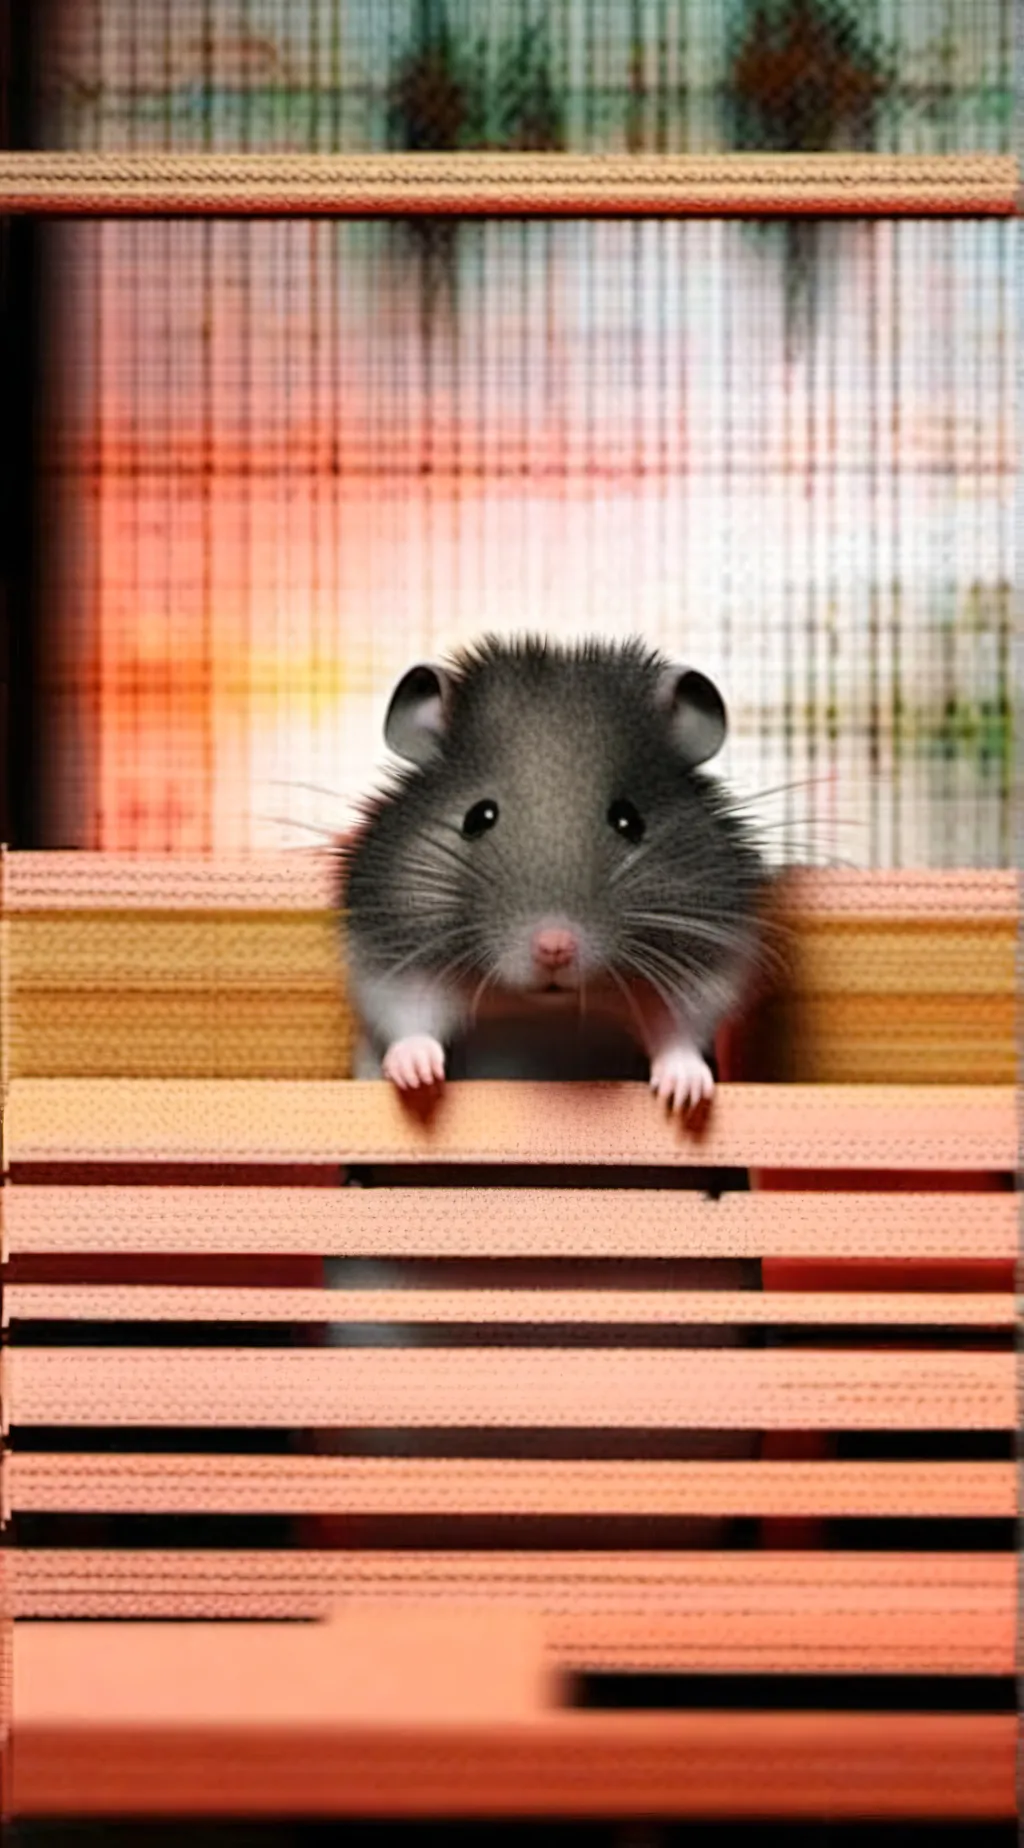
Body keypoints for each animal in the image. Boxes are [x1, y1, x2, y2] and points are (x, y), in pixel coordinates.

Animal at [341, 634, 768, 1102]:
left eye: (629, 821)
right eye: (477, 817)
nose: (554, 946)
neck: (542, 1006)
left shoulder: (702, 967)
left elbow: (677, 1033)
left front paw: (684, 1094)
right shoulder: (394, 954)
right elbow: (411, 1023)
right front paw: (418, 1077)